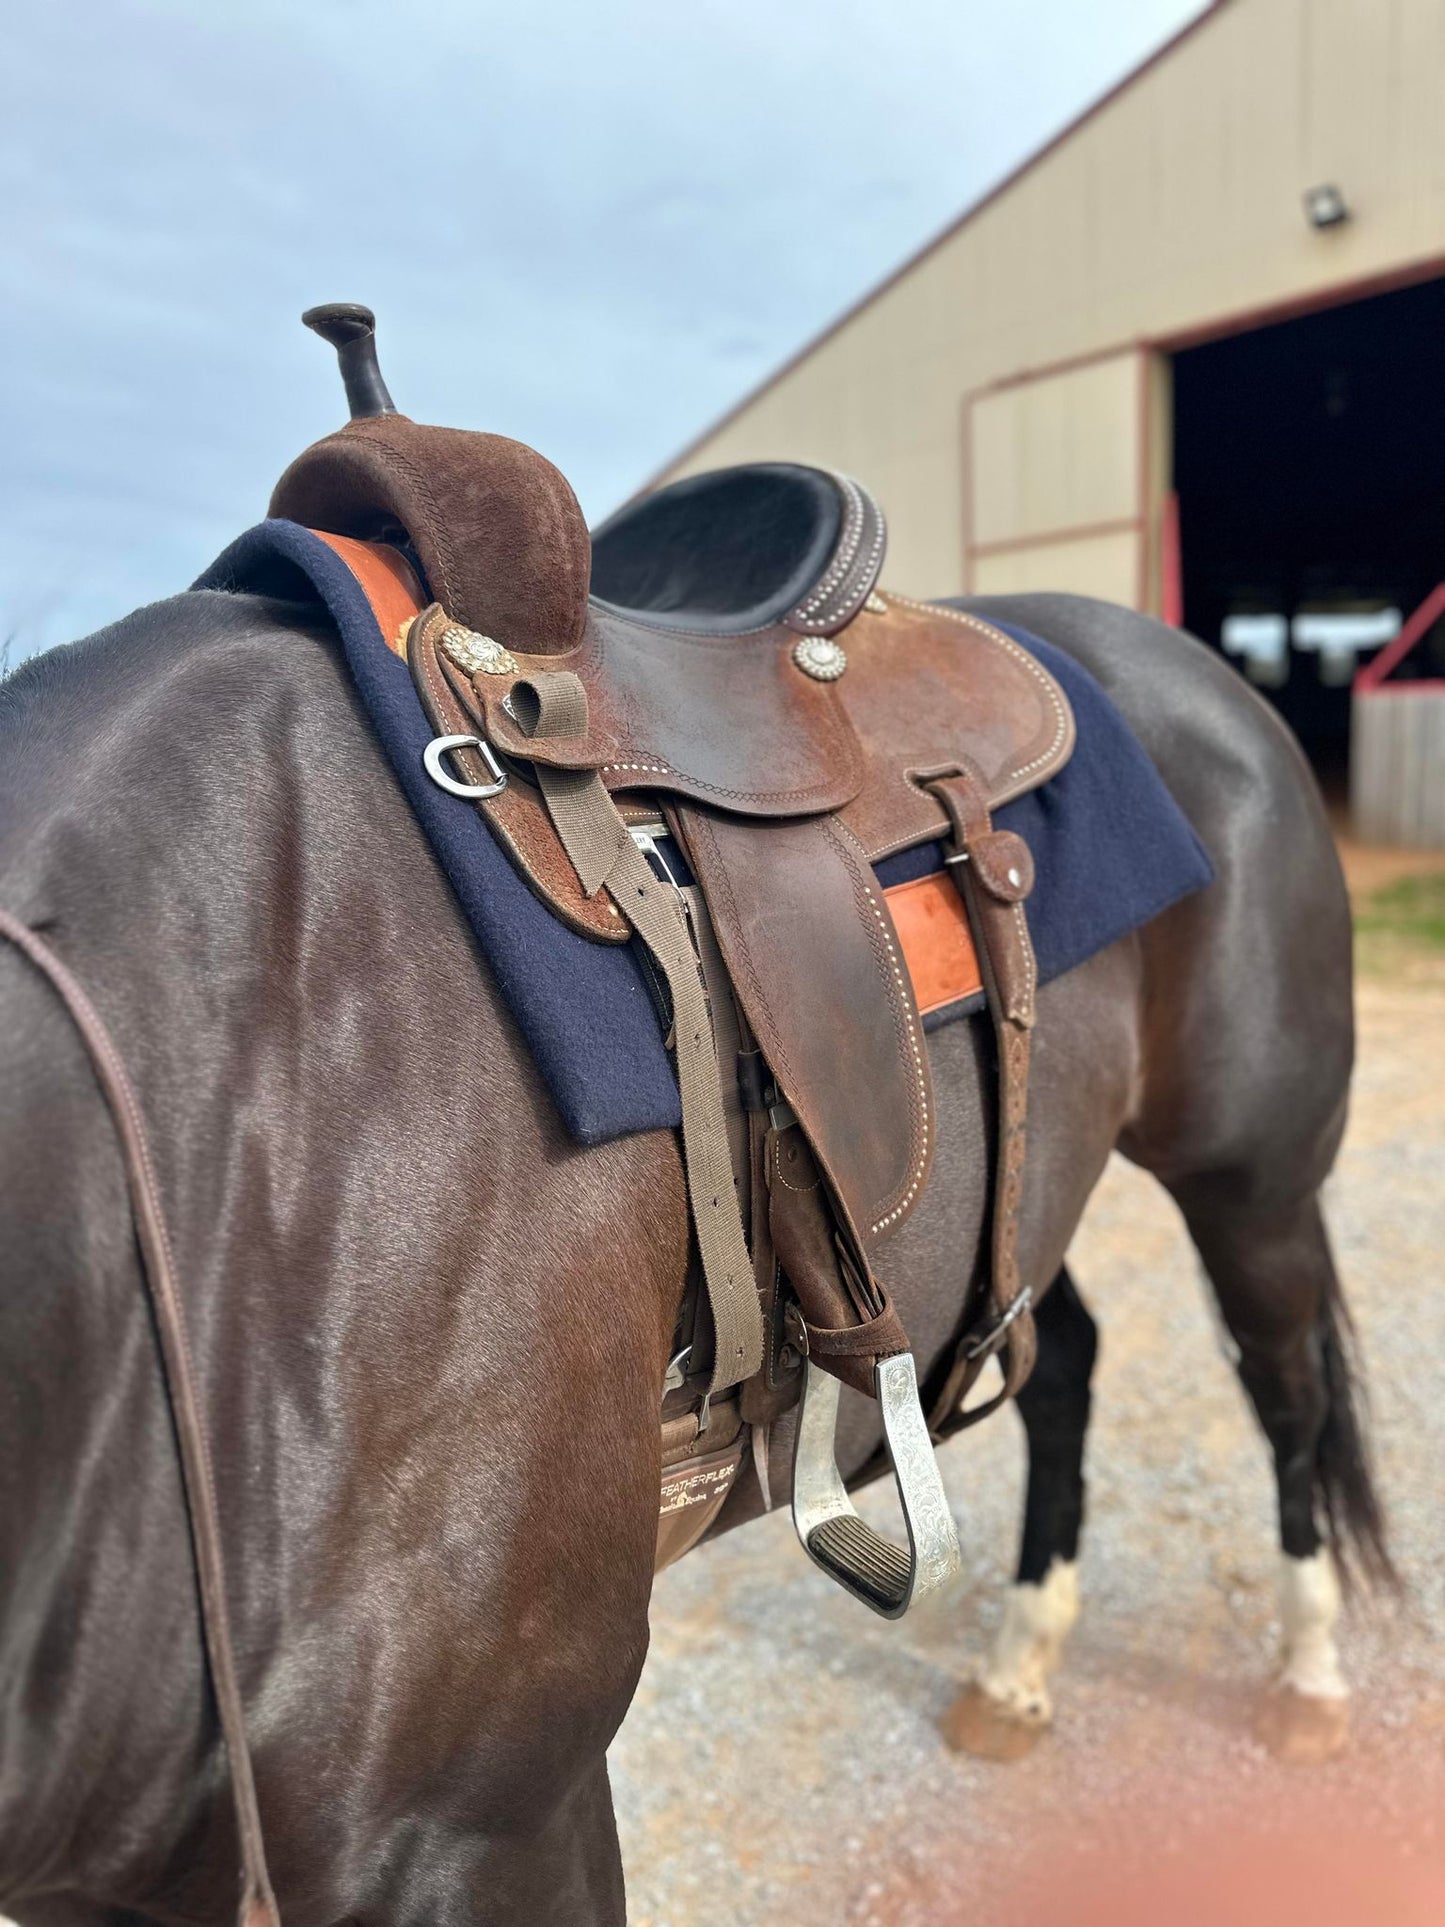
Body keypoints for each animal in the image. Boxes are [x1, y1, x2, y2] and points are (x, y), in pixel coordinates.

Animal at [2, 562, 1402, 1927]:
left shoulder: (491, 1822)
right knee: (1059, 1366)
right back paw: (1017, 1673)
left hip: (1250, 1182)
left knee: (1287, 1390)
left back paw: (1308, 1681)